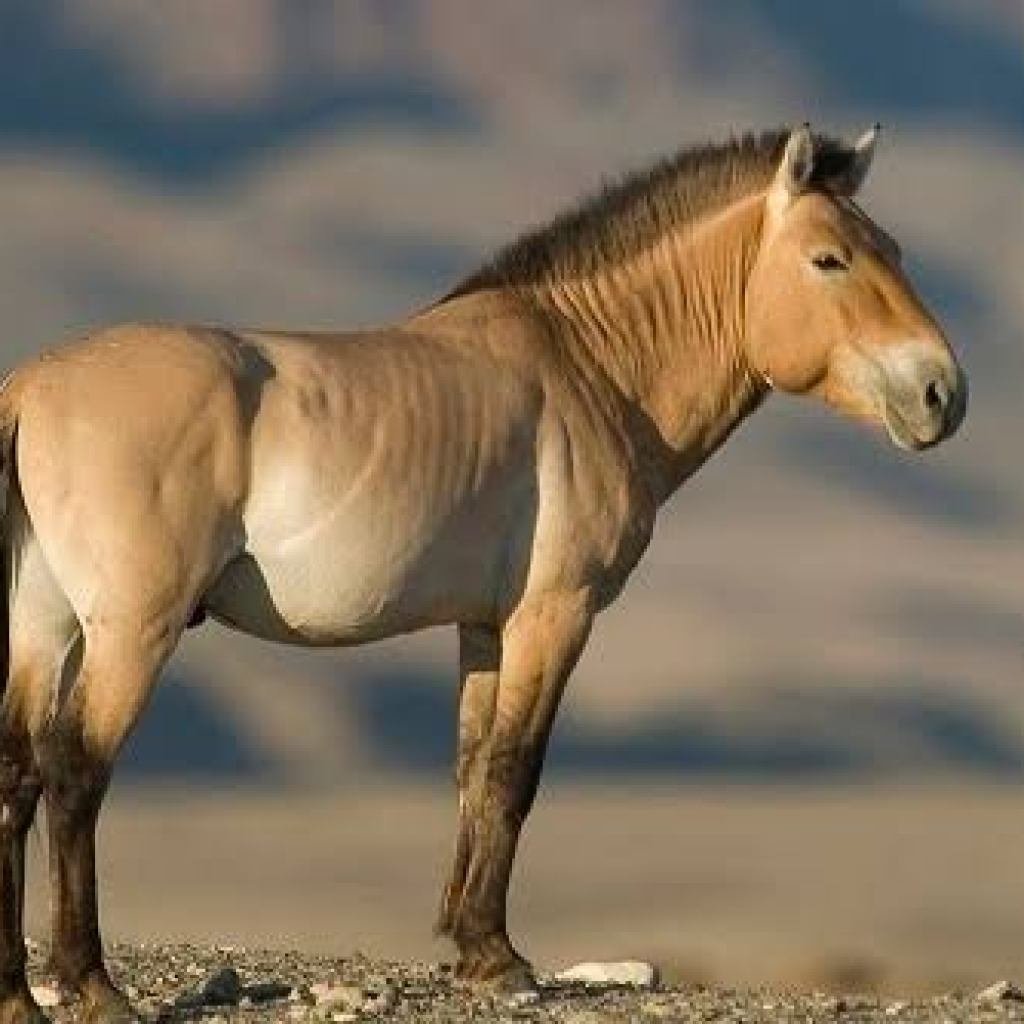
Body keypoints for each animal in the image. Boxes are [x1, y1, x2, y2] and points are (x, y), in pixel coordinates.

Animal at [0, 124, 966, 1022]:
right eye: (829, 258)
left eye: (894, 250)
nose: (942, 395)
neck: (592, 364)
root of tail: (29, 390)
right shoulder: (554, 615)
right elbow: (513, 771)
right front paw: (502, 960)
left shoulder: (483, 626)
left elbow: (470, 768)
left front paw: (467, 944)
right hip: (133, 632)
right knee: (75, 774)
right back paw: (91, 982)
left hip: (43, 628)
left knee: (17, 774)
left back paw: (18, 990)